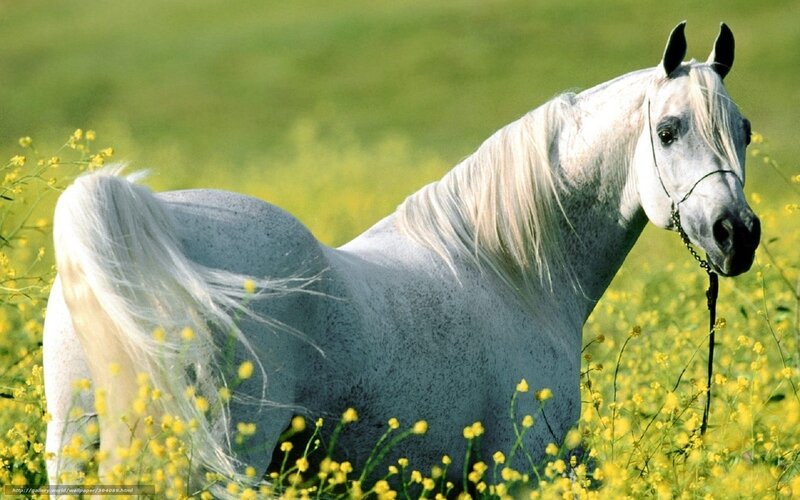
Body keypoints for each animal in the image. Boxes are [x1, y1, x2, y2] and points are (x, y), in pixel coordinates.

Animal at [43, 21, 760, 490]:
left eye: (745, 131)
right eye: (668, 131)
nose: (738, 234)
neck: (510, 273)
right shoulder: (516, 474)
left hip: (75, 452)